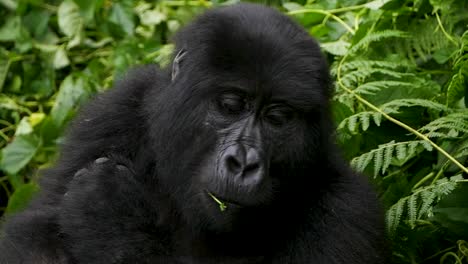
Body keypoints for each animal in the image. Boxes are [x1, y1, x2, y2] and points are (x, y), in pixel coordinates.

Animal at [0, 2, 388, 264]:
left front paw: (108, 213)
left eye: (277, 118)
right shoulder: (117, 110)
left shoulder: (347, 210)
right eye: (231, 105)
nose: (243, 163)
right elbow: (31, 240)